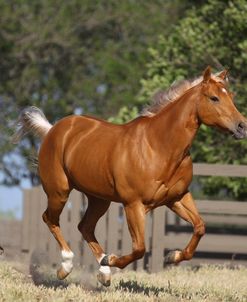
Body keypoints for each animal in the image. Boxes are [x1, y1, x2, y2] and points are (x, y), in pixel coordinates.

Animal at [14, 66, 247, 286]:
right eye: (214, 98)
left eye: (231, 95)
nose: (242, 127)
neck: (158, 146)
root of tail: (53, 130)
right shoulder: (133, 204)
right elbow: (139, 248)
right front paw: (112, 259)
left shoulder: (176, 198)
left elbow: (200, 227)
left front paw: (172, 256)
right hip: (59, 191)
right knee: (50, 219)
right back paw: (67, 267)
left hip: (99, 199)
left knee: (85, 226)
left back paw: (104, 273)